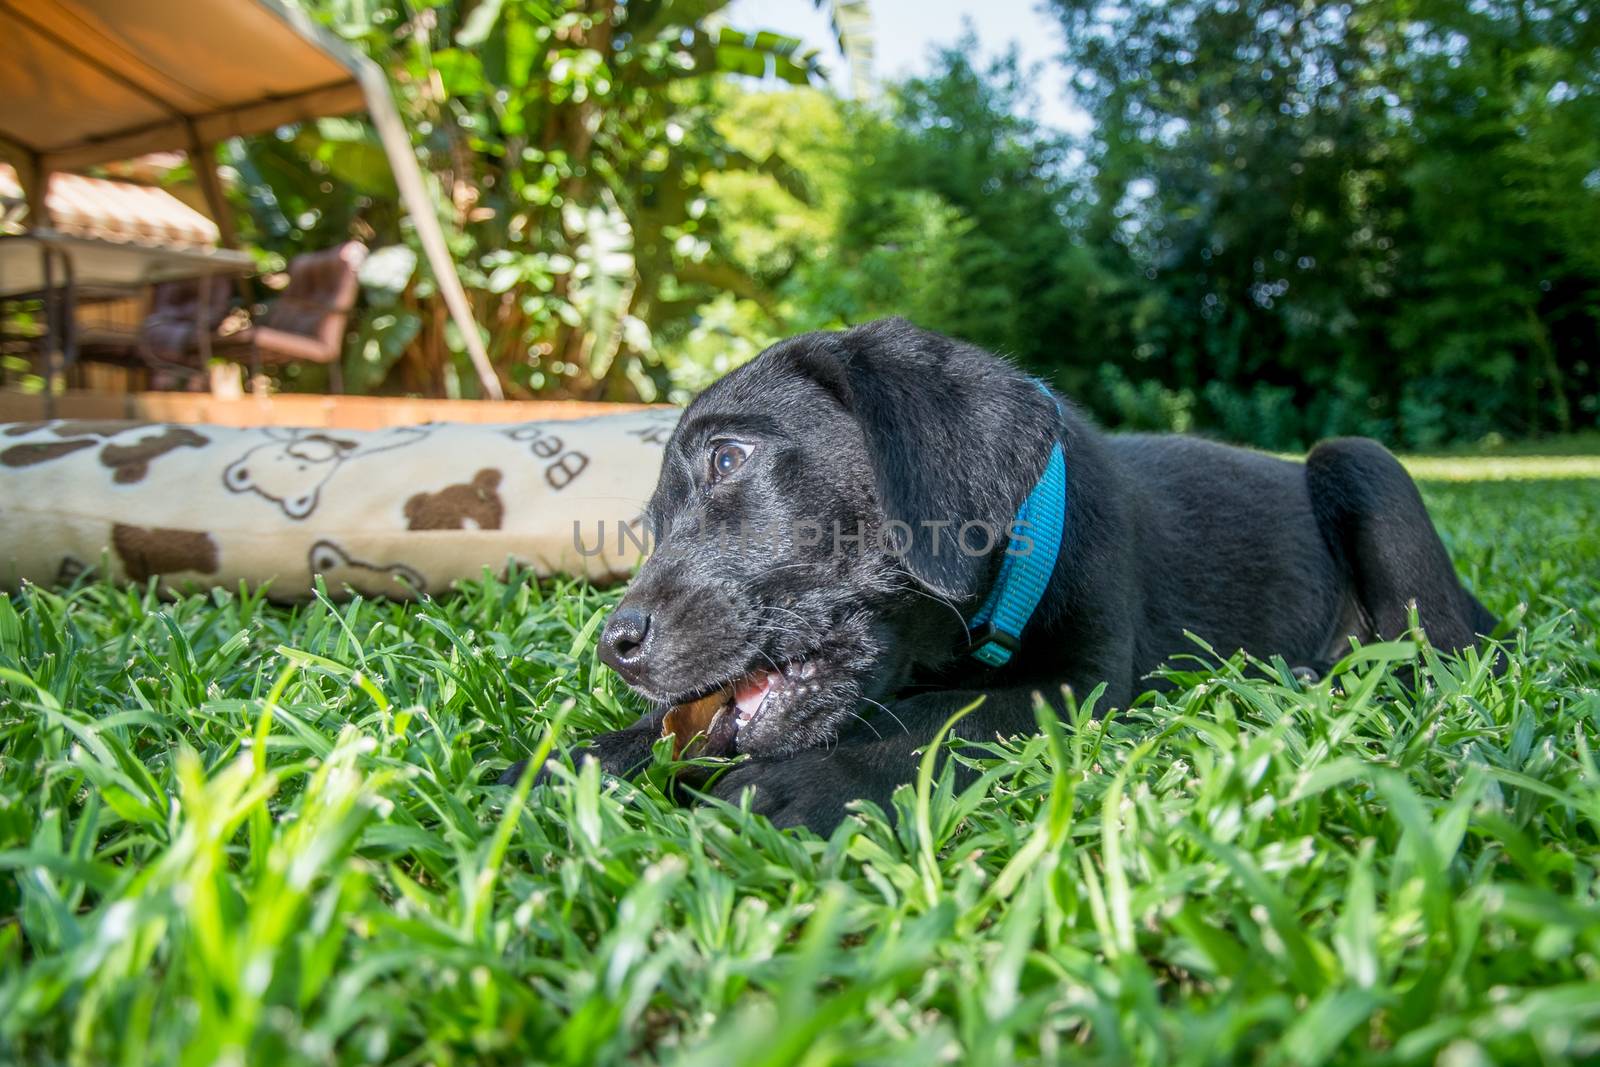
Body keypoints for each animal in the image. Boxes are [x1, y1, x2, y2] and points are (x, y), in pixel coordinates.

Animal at [518, 316, 1491, 831]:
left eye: (728, 459)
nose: (613, 646)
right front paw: (575, 760)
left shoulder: (1081, 683)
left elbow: (947, 717)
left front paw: (805, 783)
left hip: (1361, 463)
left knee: (1447, 652)